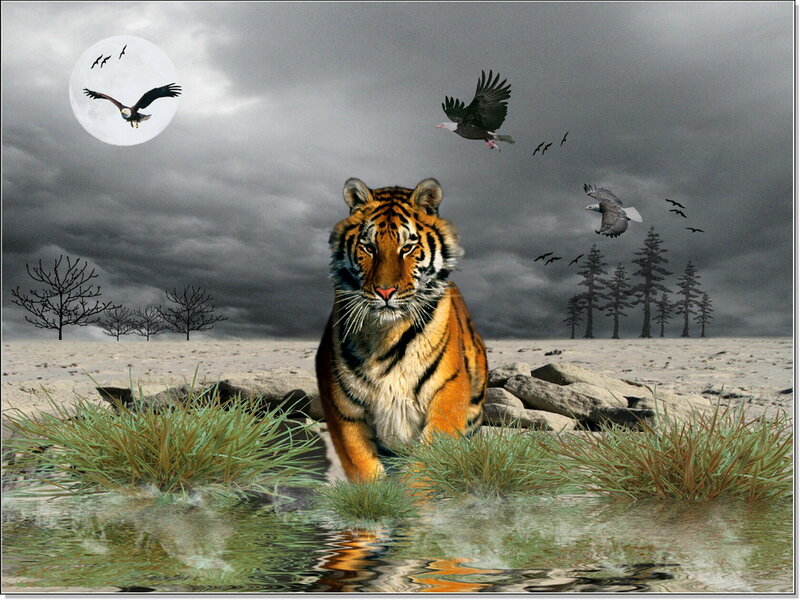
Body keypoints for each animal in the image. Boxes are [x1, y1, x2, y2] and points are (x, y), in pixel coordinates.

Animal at [315, 177, 488, 482]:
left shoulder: (448, 389)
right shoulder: (341, 404)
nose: (385, 291)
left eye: (407, 247)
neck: (386, 333)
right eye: (369, 247)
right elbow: (362, 465)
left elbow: (430, 462)